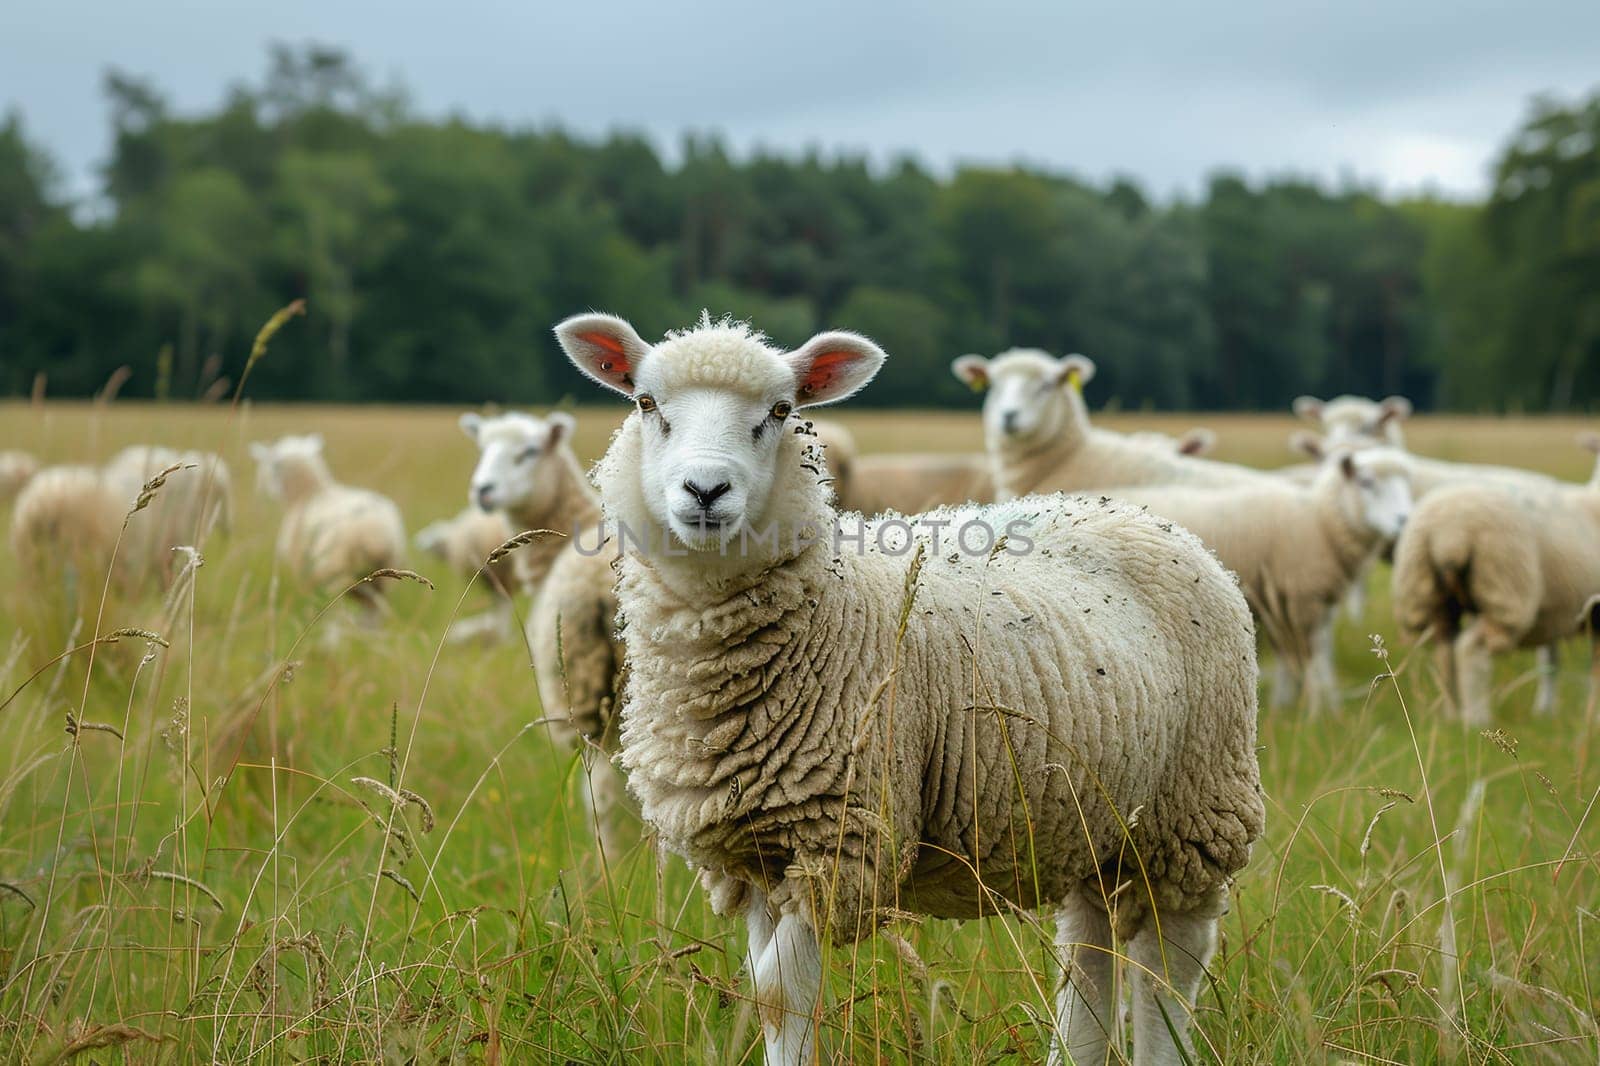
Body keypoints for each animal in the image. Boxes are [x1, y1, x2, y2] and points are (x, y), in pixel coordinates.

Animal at [248, 432, 406, 614]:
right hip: (384, 579)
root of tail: (374, 534)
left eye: (271, 466)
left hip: (336, 577)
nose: (260, 490)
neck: (308, 494)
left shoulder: (304, 573)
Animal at [1113, 444, 1414, 710]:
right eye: (1367, 482)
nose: (1403, 520)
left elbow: (1305, 655)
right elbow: (1307, 656)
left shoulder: (1298, 603)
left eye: (1406, 484)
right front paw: (1313, 710)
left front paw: (1304, 704)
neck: (1319, 522)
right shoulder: (1299, 598)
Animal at [1388, 432, 1600, 723]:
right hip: (1504, 587)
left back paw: (1451, 715)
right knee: (1470, 649)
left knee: (1446, 649)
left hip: (1430, 590)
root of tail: (1449, 533)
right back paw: (1476, 719)